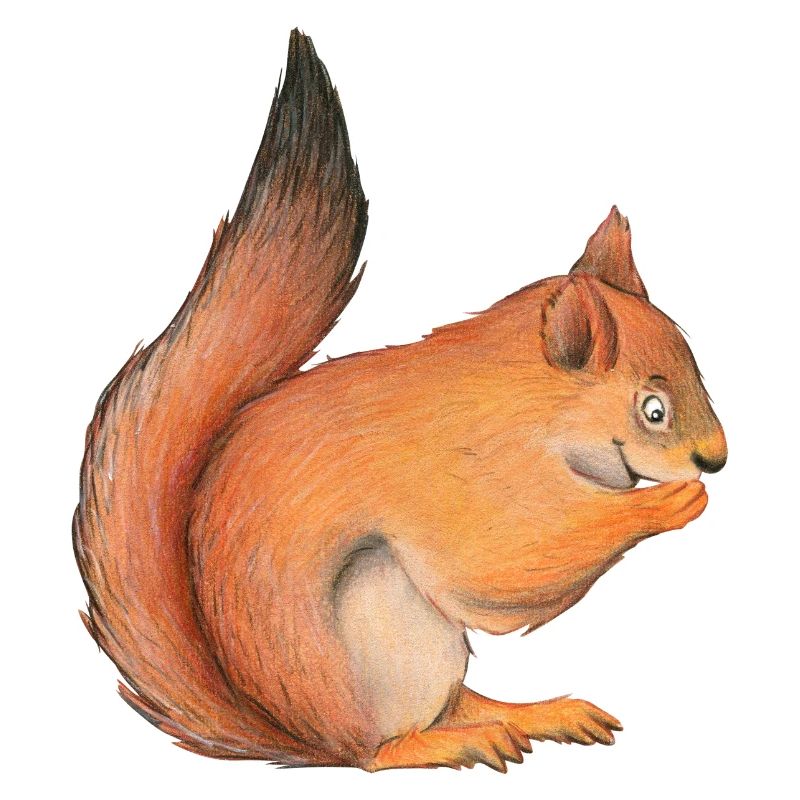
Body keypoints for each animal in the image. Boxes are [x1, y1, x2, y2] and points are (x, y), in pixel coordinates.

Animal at [74, 29, 727, 772]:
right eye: (653, 410)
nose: (716, 460)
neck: (527, 411)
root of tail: (303, 736)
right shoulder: (465, 483)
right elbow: (507, 560)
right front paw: (670, 502)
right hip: (381, 628)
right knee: (380, 749)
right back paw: (448, 742)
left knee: (458, 699)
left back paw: (535, 713)